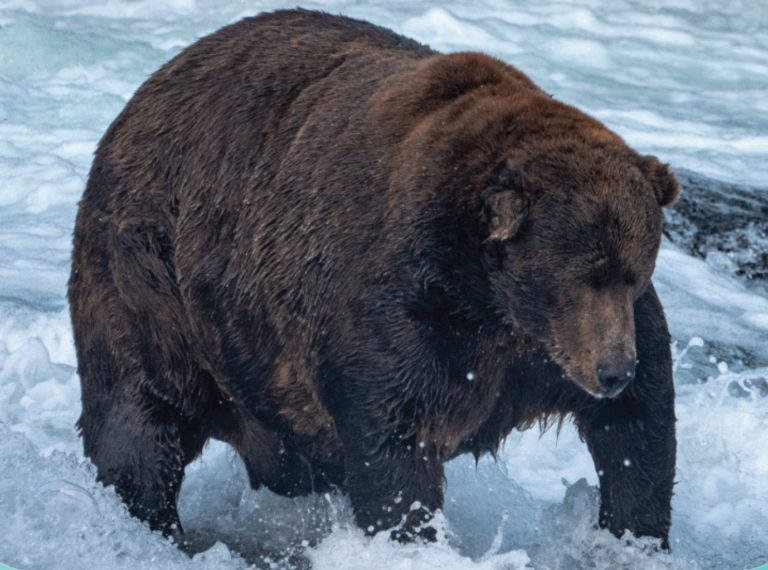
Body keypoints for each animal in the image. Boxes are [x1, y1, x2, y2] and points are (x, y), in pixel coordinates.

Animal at [69, 8, 679, 549]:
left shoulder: (549, 349)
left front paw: (633, 536)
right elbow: (395, 440)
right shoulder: (402, 312)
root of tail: (144, 93)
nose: (612, 370)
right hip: (153, 280)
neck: (487, 297)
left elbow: (639, 427)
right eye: (581, 276)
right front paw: (410, 535)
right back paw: (150, 523)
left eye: (633, 271)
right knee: (141, 416)